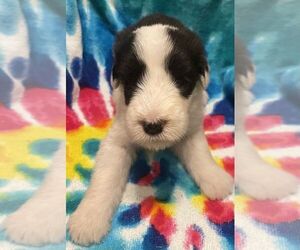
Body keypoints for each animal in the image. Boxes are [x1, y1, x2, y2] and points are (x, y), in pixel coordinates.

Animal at [69, 14, 233, 246]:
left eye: (182, 80)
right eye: (131, 81)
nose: (153, 126)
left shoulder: (190, 126)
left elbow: (200, 153)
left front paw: (215, 178)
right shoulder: (118, 137)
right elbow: (105, 176)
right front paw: (88, 219)